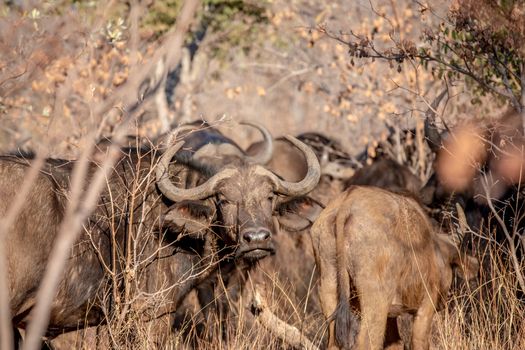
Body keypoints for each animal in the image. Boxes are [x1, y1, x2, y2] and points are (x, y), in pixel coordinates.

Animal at [312, 187, 478, 348]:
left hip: (329, 290)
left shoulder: (391, 317)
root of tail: (346, 204)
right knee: (366, 343)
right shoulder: (425, 309)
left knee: (333, 343)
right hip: (376, 304)